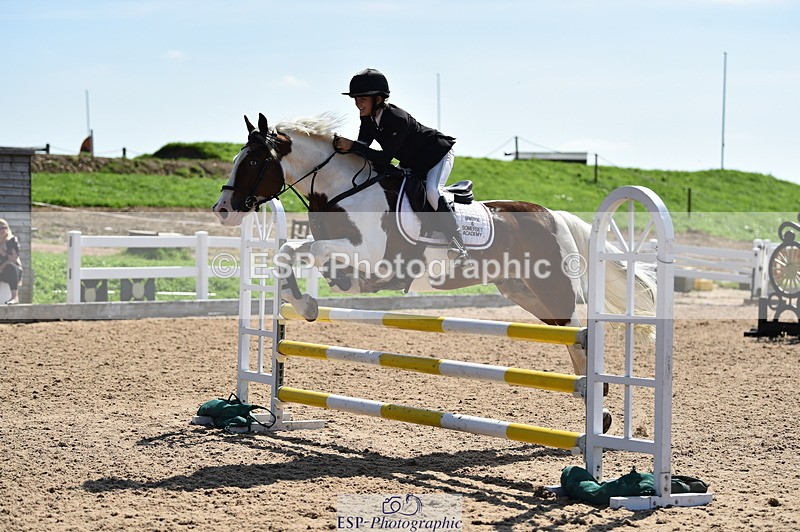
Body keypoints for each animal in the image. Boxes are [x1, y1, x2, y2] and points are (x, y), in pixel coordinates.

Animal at [213, 113, 658, 382]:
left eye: (253, 163)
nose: (223, 210)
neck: (344, 190)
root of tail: (556, 215)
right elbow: (291, 252)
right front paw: (304, 302)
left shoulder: (372, 255)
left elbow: (303, 250)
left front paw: (305, 304)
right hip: (524, 292)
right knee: (566, 333)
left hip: (555, 289)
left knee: (578, 335)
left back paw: (599, 408)